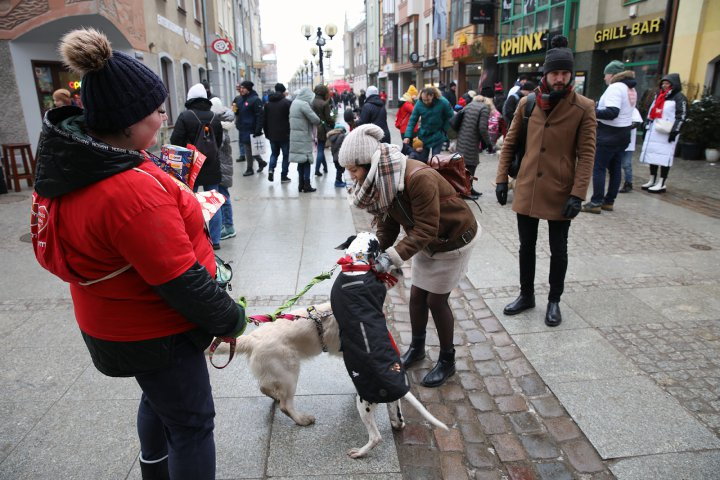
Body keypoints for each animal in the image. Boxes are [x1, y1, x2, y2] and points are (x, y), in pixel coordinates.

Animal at [228, 232, 448, 458]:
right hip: (288, 374)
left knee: (276, 397)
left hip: (288, 376)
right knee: (280, 400)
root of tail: (253, 338)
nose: (397, 265)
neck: (355, 265)